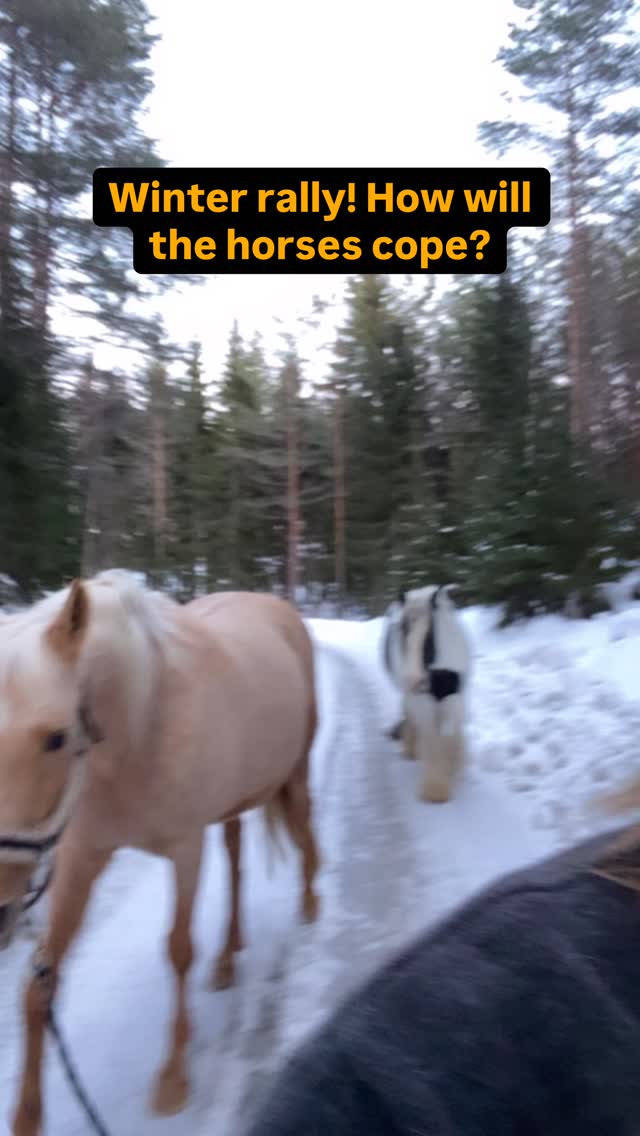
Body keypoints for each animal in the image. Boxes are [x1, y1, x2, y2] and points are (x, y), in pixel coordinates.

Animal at [0, 569, 320, 1136]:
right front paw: (26, 1116)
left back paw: (310, 904)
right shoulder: (82, 858)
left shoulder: (185, 850)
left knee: (303, 826)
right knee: (236, 858)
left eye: (56, 738)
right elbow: (41, 981)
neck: (142, 728)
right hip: (233, 804)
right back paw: (228, 958)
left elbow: (178, 949)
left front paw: (173, 1082)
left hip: (294, 773)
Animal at [382, 585, 471, 803]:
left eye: (430, 635)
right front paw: (435, 788)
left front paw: (452, 767)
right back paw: (411, 749)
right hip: (410, 696)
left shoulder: (453, 695)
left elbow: (450, 734)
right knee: (410, 717)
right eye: (403, 629)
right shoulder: (423, 701)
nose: (415, 680)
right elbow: (431, 737)